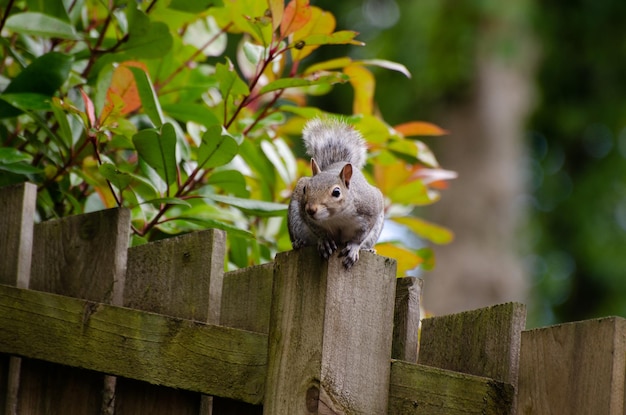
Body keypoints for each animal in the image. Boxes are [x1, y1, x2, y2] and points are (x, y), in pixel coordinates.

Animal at [286, 118, 382, 270]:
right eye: (305, 189)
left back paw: (370, 249)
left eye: (336, 192)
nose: (310, 209)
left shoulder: (369, 212)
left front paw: (353, 248)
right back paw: (299, 243)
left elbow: (359, 237)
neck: (337, 216)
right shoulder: (306, 214)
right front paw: (325, 241)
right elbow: (317, 230)